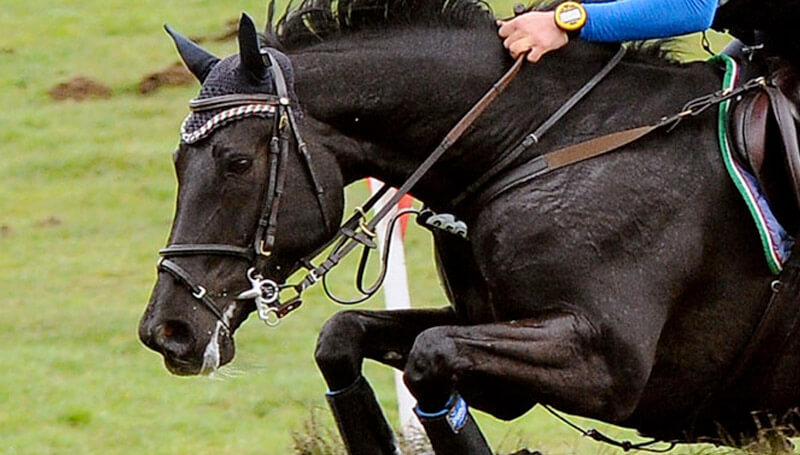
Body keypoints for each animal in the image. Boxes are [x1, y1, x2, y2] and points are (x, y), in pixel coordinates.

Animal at [138, 0, 800, 453]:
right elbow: (343, 336)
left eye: (236, 162)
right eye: (177, 164)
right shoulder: (490, 337)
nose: (167, 331)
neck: (543, 141)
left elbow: (430, 355)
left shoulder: (605, 362)